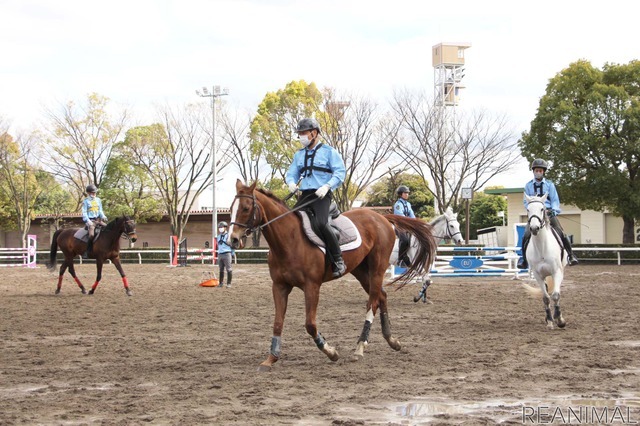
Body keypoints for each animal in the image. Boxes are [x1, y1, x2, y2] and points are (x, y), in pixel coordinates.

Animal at [228, 181, 438, 372]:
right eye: (231, 209)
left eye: (246, 208)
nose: (233, 239)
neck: (290, 240)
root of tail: (381, 217)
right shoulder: (279, 286)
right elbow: (278, 322)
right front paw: (271, 358)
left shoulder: (312, 286)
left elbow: (310, 324)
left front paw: (330, 351)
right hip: (361, 271)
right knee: (382, 297)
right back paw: (391, 340)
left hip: (377, 269)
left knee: (372, 302)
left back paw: (360, 347)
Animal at [524, 194, 568, 330]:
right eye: (528, 209)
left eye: (542, 209)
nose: (534, 228)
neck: (542, 247)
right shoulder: (538, 276)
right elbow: (546, 298)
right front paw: (549, 321)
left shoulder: (557, 272)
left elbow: (556, 295)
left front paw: (560, 320)